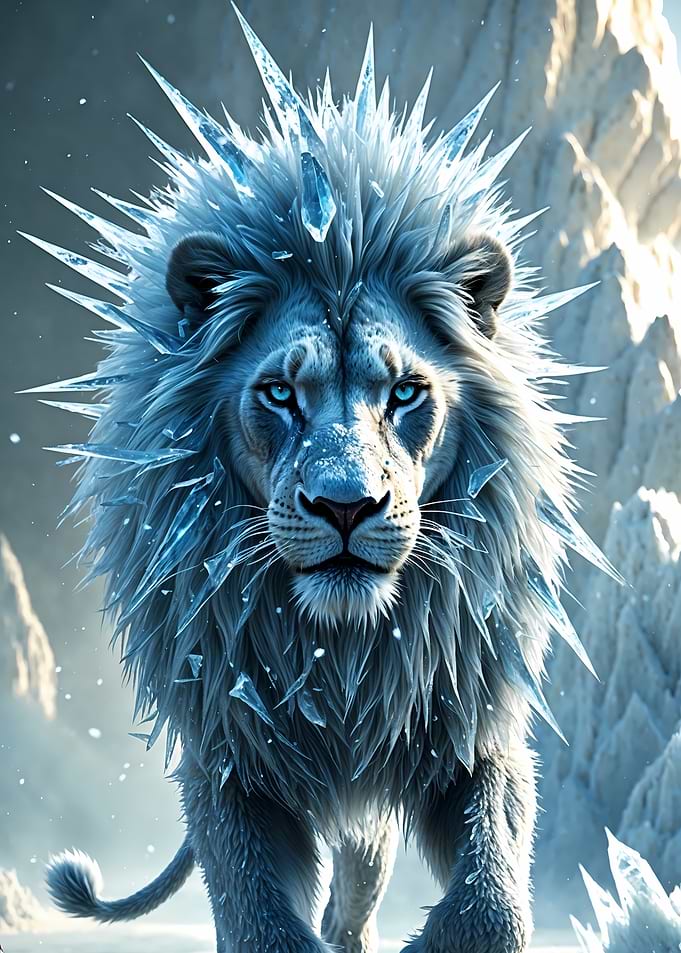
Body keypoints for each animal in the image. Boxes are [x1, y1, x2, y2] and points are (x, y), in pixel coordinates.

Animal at [22, 8, 621, 953]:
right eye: (279, 392)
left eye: (404, 391)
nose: (345, 506)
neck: (338, 654)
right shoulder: (229, 759)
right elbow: (259, 914)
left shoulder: (471, 730)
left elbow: (491, 897)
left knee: (355, 891)